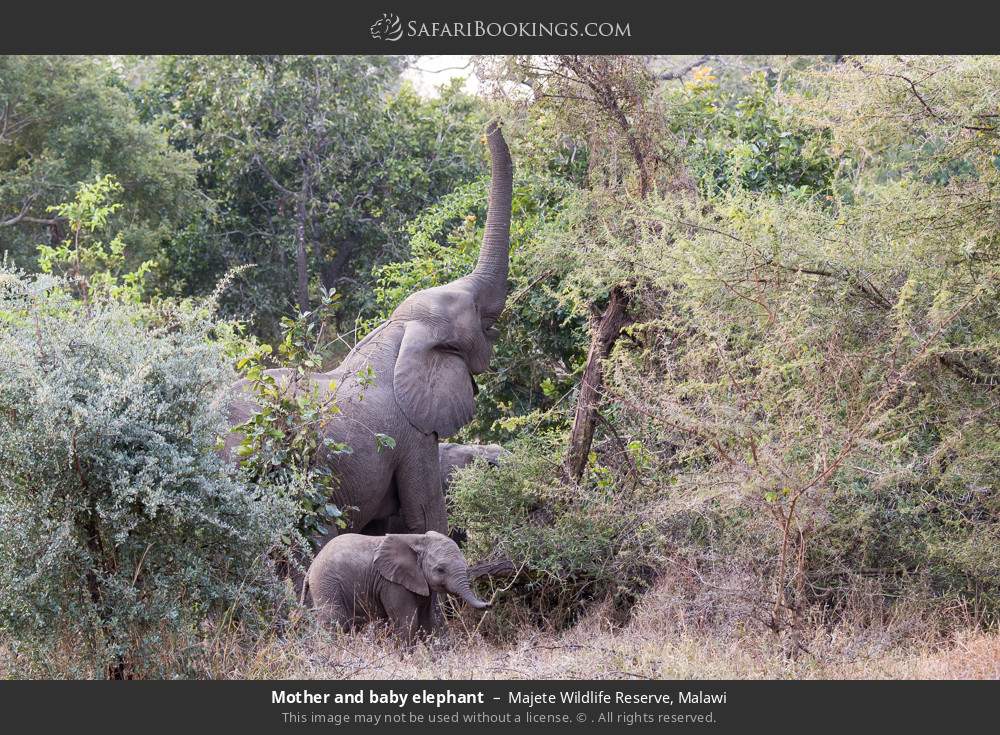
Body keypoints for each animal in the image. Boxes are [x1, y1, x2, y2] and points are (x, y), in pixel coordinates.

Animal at [305, 531, 488, 641]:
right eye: (440, 569)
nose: (489, 603)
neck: (419, 540)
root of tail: (311, 566)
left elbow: (428, 621)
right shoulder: (392, 583)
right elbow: (407, 622)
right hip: (326, 583)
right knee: (333, 620)